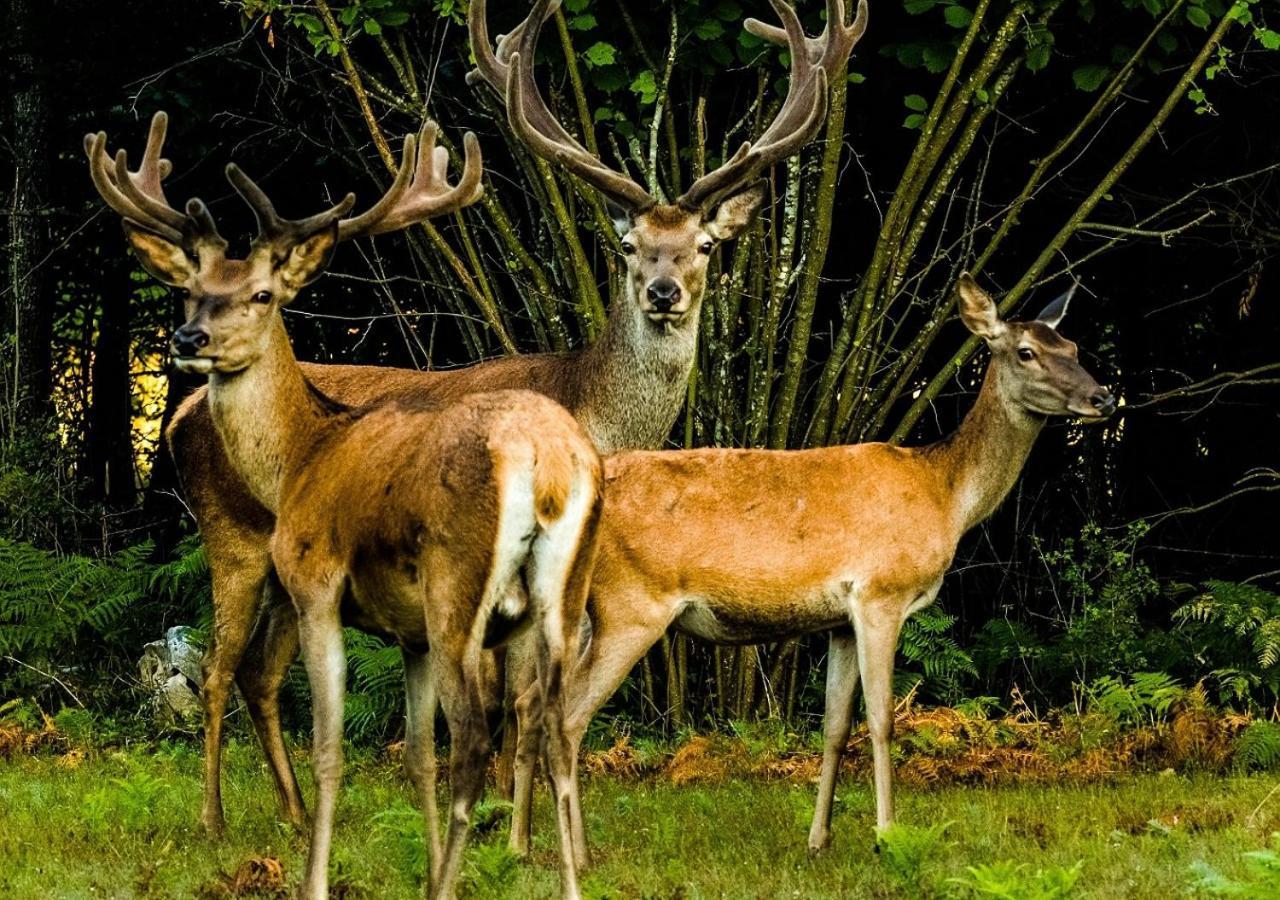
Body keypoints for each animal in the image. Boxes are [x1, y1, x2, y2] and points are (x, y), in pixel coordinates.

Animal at [88, 114, 599, 900]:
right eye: (191, 291)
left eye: (263, 294)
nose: (188, 339)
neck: (301, 456)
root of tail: (545, 459)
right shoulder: (407, 632)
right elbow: (416, 756)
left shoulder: (318, 582)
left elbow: (333, 749)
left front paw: (318, 878)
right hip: (561, 595)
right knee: (556, 727)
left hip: (445, 586)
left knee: (463, 735)